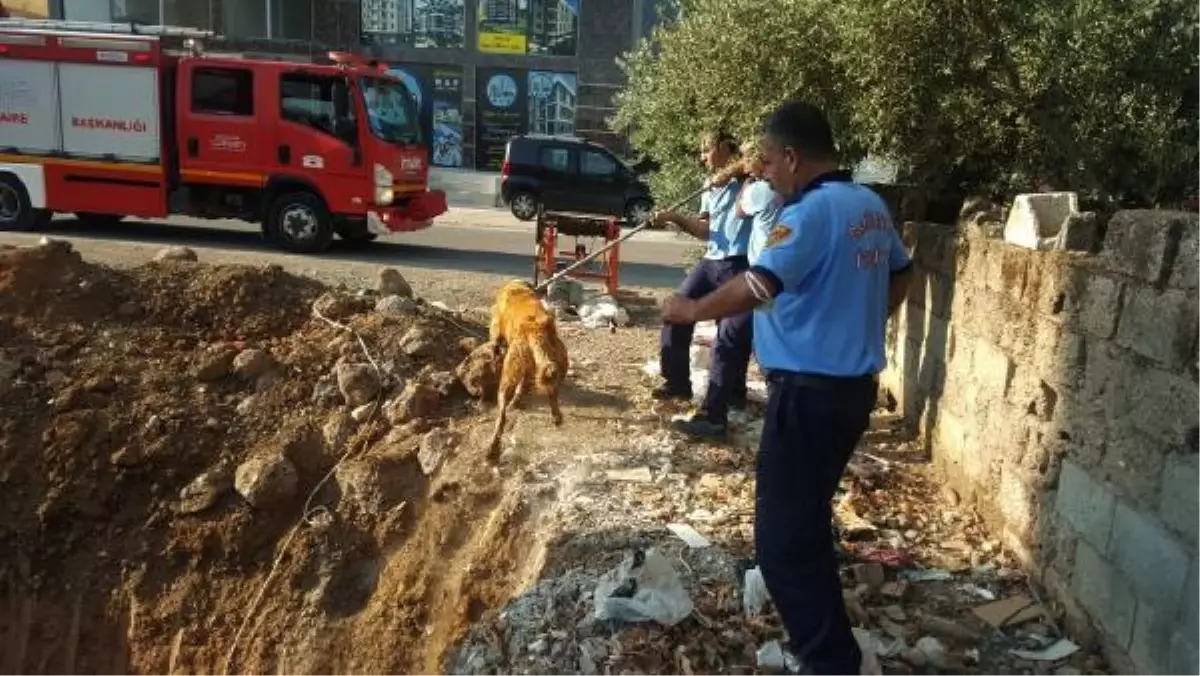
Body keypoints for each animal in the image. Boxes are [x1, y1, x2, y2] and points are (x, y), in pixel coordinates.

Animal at [484, 278, 568, 461]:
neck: (517, 288)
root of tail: (535, 331)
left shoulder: (495, 333)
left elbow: (494, 348)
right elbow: (523, 386)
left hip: (508, 376)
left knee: (502, 416)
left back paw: (493, 448)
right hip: (554, 364)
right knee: (552, 391)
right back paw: (556, 417)